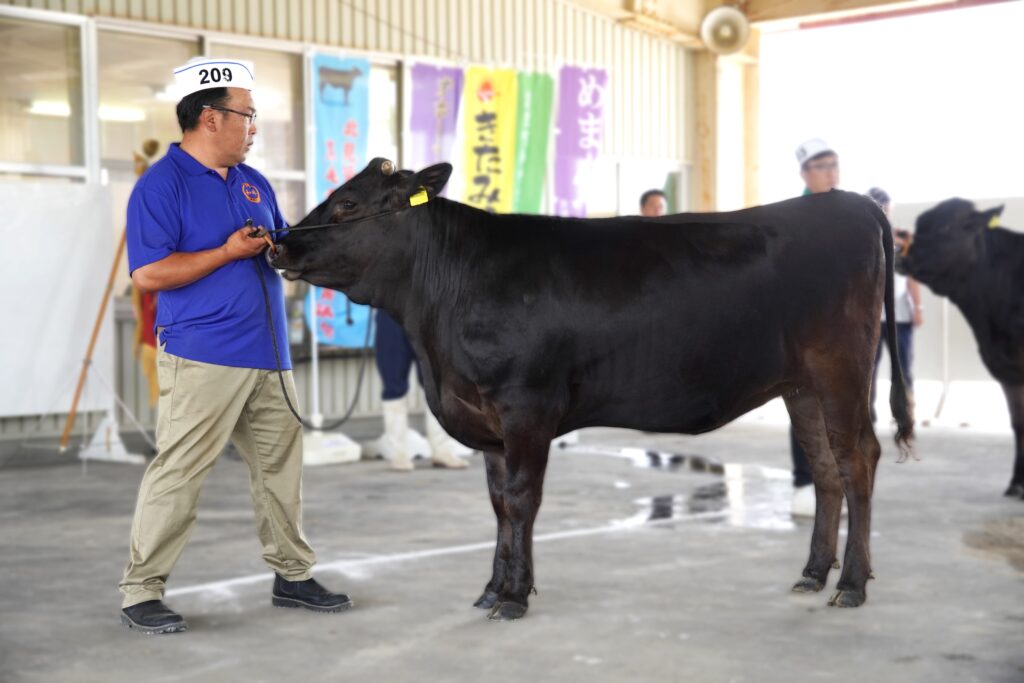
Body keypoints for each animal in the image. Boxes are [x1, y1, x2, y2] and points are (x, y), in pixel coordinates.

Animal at [270, 158, 913, 618]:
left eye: (347, 203)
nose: (279, 242)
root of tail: (850, 201)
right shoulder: (486, 420)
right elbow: (498, 504)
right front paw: (492, 588)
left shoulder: (526, 407)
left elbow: (522, 501)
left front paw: (513, 597)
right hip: (800, 385)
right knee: (826, 467)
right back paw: (813, 574)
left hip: (841, 367)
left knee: (859, 460)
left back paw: (851, 584)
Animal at [901, 197, 1019, 497]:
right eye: (920, 223)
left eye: (945, 227)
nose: (901, 251)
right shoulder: (1008, 371)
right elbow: (1018, 423)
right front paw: (1016, 483)